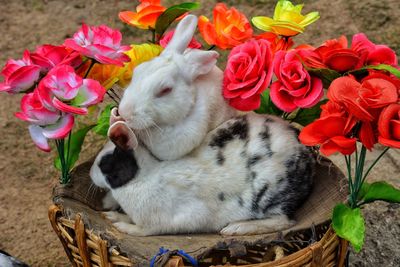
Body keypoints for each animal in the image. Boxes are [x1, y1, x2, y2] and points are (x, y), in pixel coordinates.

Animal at [90, 111, 316, 237]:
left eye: (105, 162)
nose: (91, 175)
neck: (143, 176)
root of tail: (304, 153)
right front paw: (111, 215)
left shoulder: (167, 221)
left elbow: (141, 230)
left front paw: (120, 226)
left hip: (269, 196)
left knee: (285, 221)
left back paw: (235, 229)